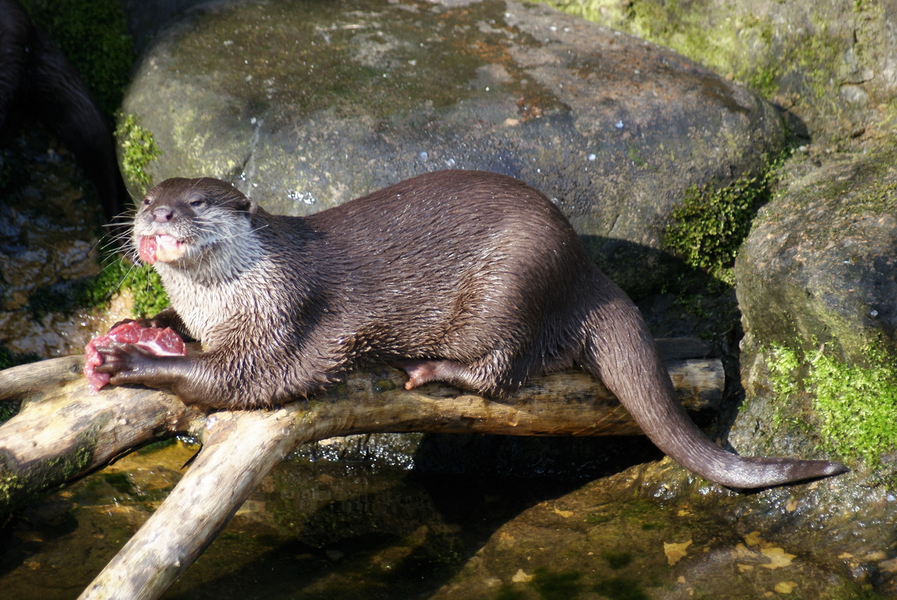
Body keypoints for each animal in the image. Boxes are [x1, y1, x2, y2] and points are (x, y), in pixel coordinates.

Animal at [98, 170, 848, 488]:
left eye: (198, 203)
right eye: (148, 197)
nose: (158, 216)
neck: (235, 295)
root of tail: (584, 271)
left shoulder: (287, 322)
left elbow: (240, 377)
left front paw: (129, 365)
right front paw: (145, 323)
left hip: (514, 285)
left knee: (504, 370)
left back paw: (432, 368)